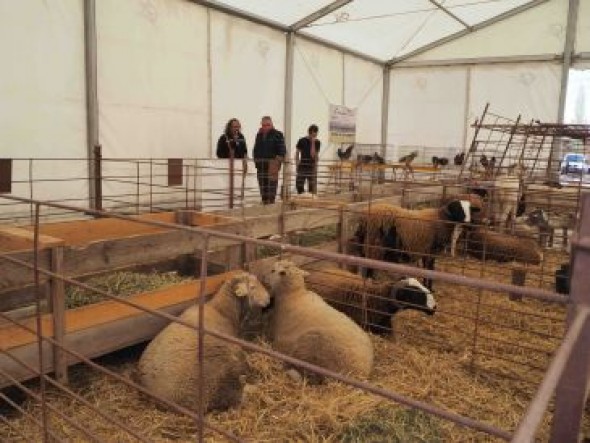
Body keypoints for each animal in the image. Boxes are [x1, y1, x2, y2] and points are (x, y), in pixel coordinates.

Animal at [138, 272, 272, 414]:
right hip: (216, 374)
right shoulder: (234, 348)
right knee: (236, 394)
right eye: (252, 287)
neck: (221, 311)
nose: (269, 299)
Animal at [352, 200, 480, 292]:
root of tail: (363, 217)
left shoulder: (426, 250)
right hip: (375, 246)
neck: (441, 219)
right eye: (458, 209)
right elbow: (430, 269)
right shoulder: (431, 251)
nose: (469, 225)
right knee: (370, 267)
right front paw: (429, 288)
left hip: (366, 245)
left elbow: (426, 269)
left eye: (470, 210)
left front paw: (427, 286)